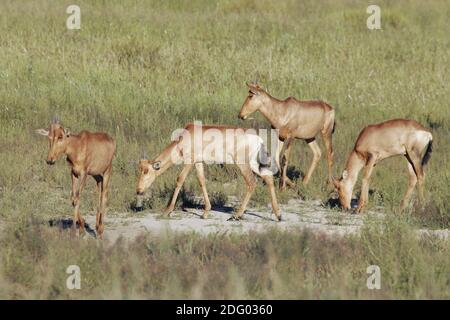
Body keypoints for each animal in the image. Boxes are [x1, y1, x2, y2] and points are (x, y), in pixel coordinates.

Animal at [134, 122, 282, 220]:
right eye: (139, 169)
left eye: (146, 171)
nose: (139, 190)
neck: (186, 137)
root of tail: (259, 139)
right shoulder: (198, 162)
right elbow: (202, 181)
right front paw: (205, 213)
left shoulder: (189, 161)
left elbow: (179, 180)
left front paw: (167, 211)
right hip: (253, 163)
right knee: (268, 177)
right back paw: (278, 215)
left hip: (243, 164)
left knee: (251, 182)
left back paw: (236, 215)